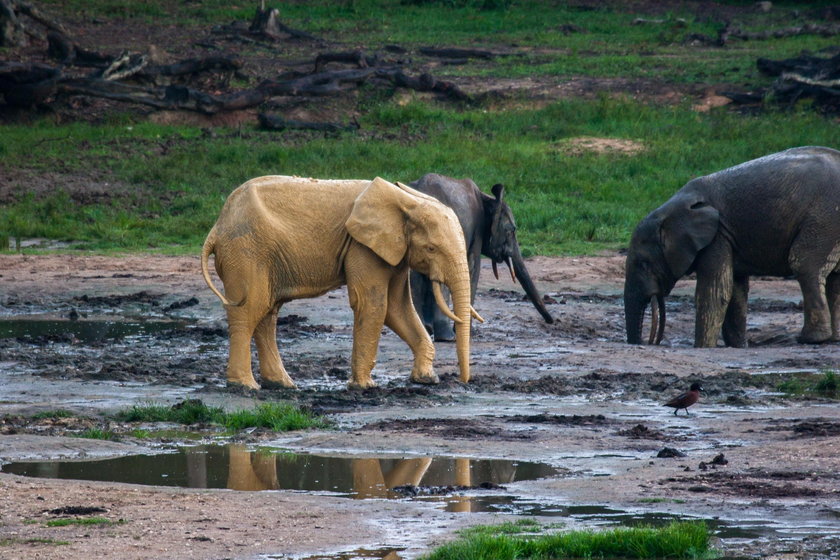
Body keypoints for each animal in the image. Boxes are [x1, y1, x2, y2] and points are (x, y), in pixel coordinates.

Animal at [199, 175, 482, 390]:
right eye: (432, 249)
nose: (464, 381)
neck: (406, 201)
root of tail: (217, 227)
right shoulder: (362, 247)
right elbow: (373, 304)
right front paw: (364, 387)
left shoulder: (393, 250)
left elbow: (397, 308)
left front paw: (427, 379)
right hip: (246, 251)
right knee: (248, 310)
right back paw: (246, 386)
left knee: (267, 312)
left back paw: (282, 384)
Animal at [410, 173, 556, 340]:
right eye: (512, 230)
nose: (551, 322)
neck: (488, 198)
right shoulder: (477, 232)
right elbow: (473, 268)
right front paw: (467, 333)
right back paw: (446, 337)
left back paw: (424, 331)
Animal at [624, 144, 840, 346]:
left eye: (644, 264)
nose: (648, 342)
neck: (670, 210)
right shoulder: (728, 236)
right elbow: (735, 290)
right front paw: (738, 346)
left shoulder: (717, 236)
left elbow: (715, 291)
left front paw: (702, 347)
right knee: (835, 278)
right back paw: (834, 339)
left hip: (824, 217)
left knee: (803, 263)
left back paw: (811, 339)